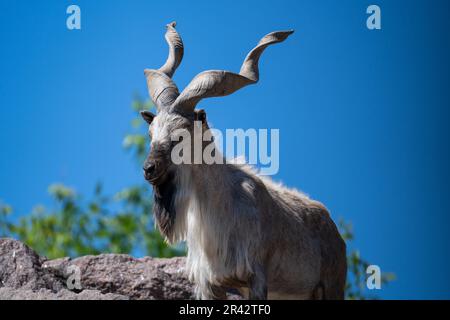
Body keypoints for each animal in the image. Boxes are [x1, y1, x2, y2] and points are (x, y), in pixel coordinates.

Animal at [142, 21, 346, 300]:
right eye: (151, 133)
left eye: (181, 134)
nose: (149, 169)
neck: (217, 209)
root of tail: (336, 234)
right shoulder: (211, 284)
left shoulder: (256, 279)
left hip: (330, 287)